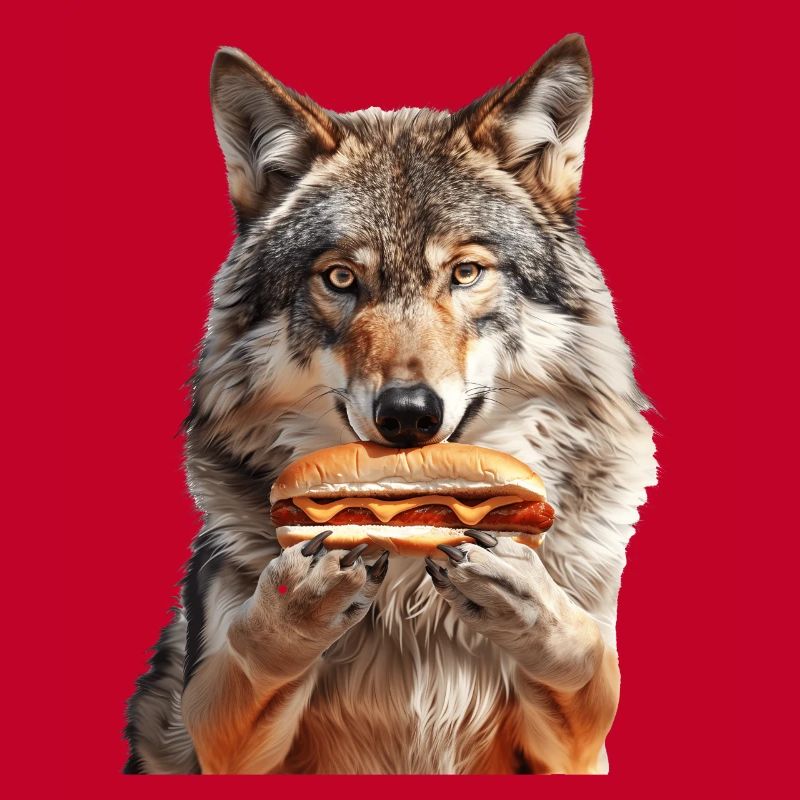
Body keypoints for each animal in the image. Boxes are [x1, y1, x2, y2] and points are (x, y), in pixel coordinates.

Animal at [123, 33, 657, 774]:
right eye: (341, 278)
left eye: (466, 273)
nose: (408, 414)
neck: (411, 602)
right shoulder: (220, 740)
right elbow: (255, 653)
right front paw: (303, 600)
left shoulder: (575, 748)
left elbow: (579, 659)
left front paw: (526, 598)